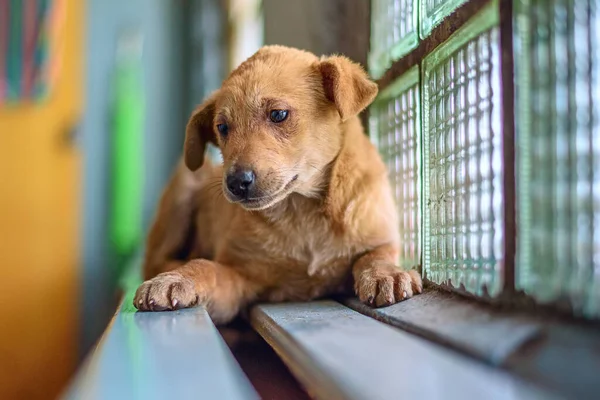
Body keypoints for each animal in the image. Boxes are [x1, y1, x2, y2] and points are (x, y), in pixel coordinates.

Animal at [134, 45, 422, 324]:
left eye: (279, 114)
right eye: (222, 128)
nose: (236, 182)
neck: (301, 211)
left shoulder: (380, 236)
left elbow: (375, 255)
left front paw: (388, 274)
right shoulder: (239, 276)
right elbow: (205, 266)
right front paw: (176, 279)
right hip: (184, 183)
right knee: (155, 259)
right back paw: (169, 269)